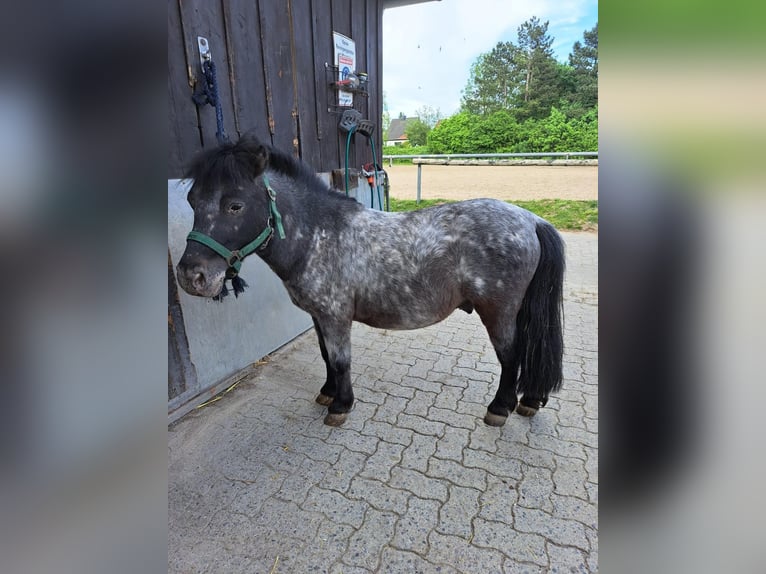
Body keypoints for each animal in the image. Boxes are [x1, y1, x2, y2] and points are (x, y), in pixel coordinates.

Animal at [177, 136, 568, 428]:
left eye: (235, 205)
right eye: (192, 200)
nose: (191, 276)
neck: (319, 235)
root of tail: (531, 219)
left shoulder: (335, 317)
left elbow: (340, 360)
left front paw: (340, 406)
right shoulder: (318, 317)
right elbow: (325, 356)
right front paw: (327, 393)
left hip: (498, 312)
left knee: (511, 356)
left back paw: (499, 409)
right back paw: (530, 401)